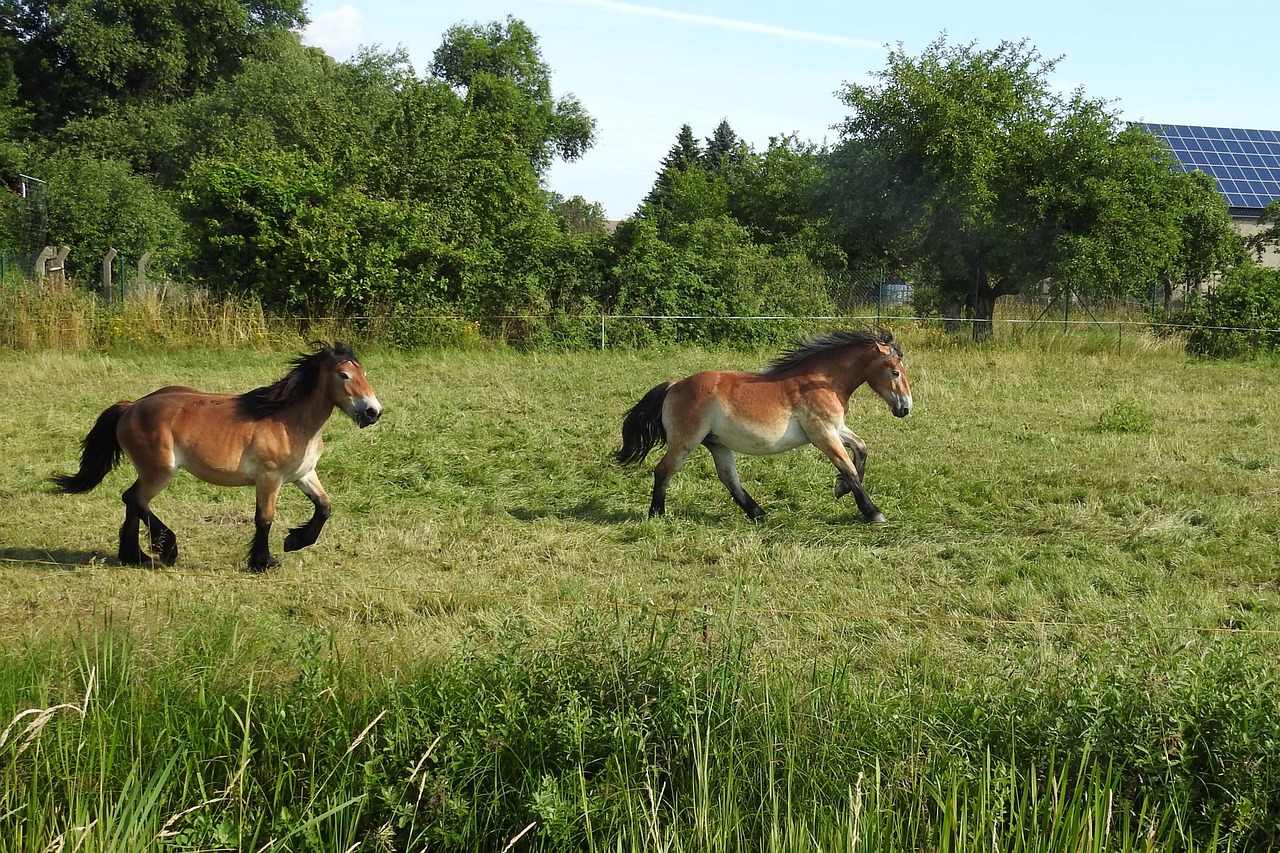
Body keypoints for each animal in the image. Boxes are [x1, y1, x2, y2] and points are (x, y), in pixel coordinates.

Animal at [52, 340, 381, 571]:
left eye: (365, 373)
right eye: (344, 375)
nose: (373, 412)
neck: (288, 421)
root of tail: (131, 407)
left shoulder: (303, 475)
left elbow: (324, 507)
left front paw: (295, 541)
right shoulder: (269, 478)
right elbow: (264, 518)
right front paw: (263, 562)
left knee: (132, 502)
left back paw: (135, 556)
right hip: (161, 471)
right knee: (134, 499)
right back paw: (166, 549)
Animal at [616, 326, 911, 517]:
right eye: (895, 372)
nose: (905, 408)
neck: (820, 382)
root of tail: (674, 385)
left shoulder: (837, 428)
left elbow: (861, 449)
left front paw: (841, 488)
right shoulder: (823, 434)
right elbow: (849, 467)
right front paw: (873, 512)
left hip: (716, 443)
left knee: (729, 478)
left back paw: (758, 513)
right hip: (685, 442)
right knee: (663, 471)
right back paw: (657, 514)